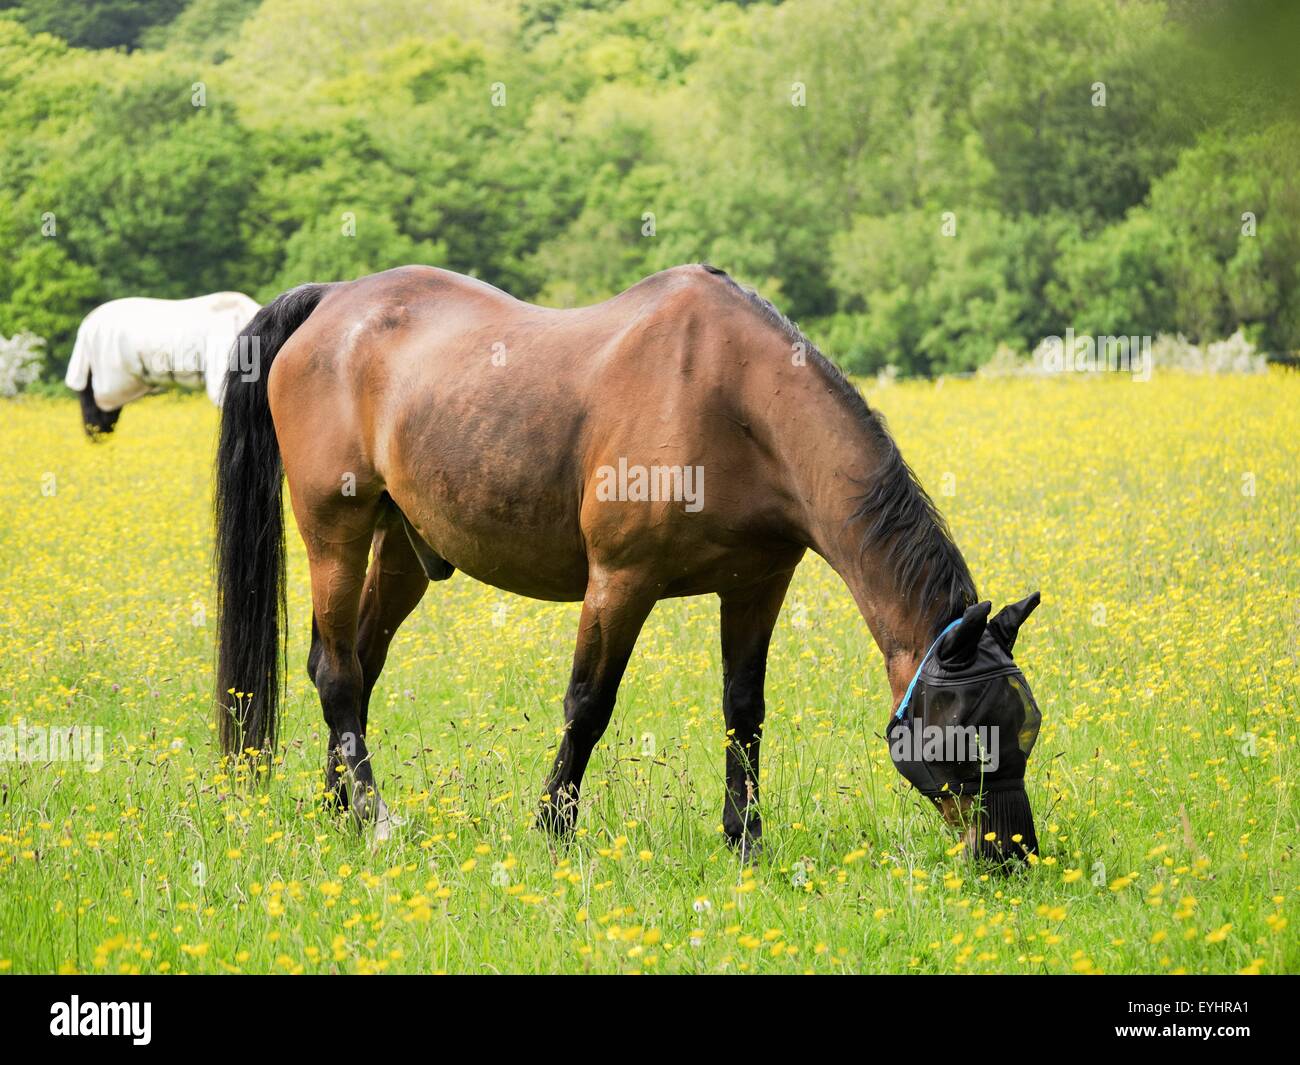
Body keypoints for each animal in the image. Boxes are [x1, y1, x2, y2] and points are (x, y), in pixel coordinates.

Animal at [213, 264, 1044, 862]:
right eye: (965, 730)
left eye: (1024, 728)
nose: (1013, 856)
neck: (733, 398)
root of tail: (332, 301)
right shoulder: (620, 581)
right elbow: (588, 705)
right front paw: (553, 827)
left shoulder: (757, 585)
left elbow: (744, 710)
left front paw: (745, 837)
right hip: (336, 530)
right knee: (337, 674)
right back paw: (375, 816)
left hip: (403, 550)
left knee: (356, 668)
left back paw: (338, 808)